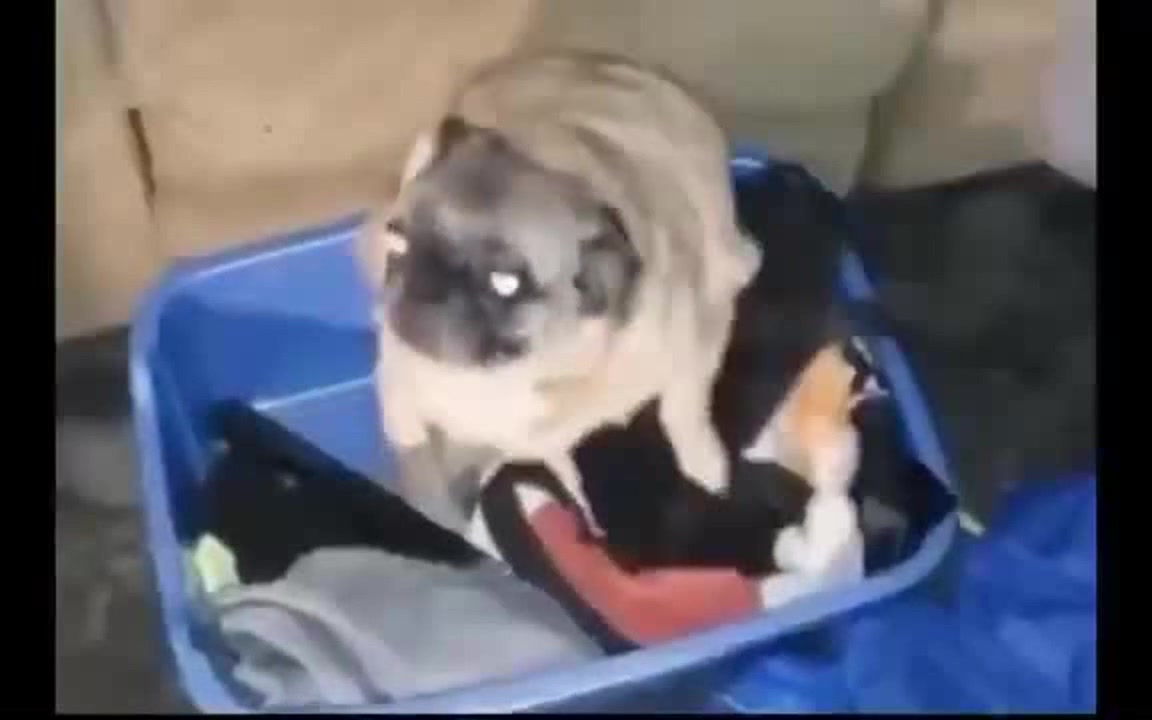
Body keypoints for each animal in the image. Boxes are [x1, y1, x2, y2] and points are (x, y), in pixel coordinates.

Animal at [358, 51, 761, 533]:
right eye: (398, 243)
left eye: (505, 283)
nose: (426, 283)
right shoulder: (402, 400)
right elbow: (419, 459)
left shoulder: (698, 348)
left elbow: (682, 412)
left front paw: (705, 466)